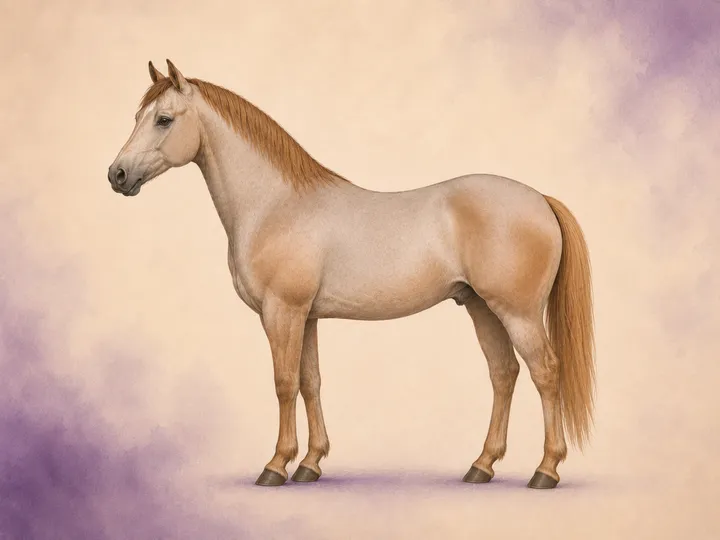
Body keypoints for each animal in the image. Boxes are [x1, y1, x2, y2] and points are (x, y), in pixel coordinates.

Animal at [108, 59, 595, 489]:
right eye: (138, 116)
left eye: (164, 119)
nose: (117, 175)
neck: (275, 205)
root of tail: (540, 200)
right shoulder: (306, 316)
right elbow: (310, 383)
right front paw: (310, 464)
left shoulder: (281, 311)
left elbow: (283, 383)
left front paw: (275, 466)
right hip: (481, 307)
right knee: (503, 374)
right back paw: (482, 466)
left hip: (518, 312)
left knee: (545, 372)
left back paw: (545, 471)